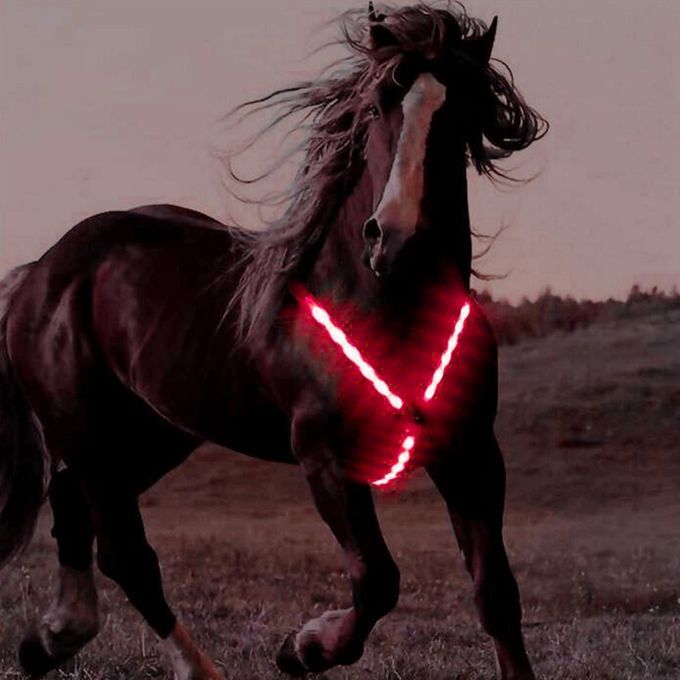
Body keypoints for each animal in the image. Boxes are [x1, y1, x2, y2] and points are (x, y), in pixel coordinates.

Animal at [0, 3, 547, 678]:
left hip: (153, 433)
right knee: (126, 553)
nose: (396, 243)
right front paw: (302, 648)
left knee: (75, 512)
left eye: (463, 109)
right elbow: (377, 580)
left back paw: (49, 640)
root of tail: (40, 272)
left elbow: (495, 592)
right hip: (89, 433)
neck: (383, 304)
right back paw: (190, 668)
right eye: (376, 109)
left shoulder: (470, 451)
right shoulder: (325, 456)